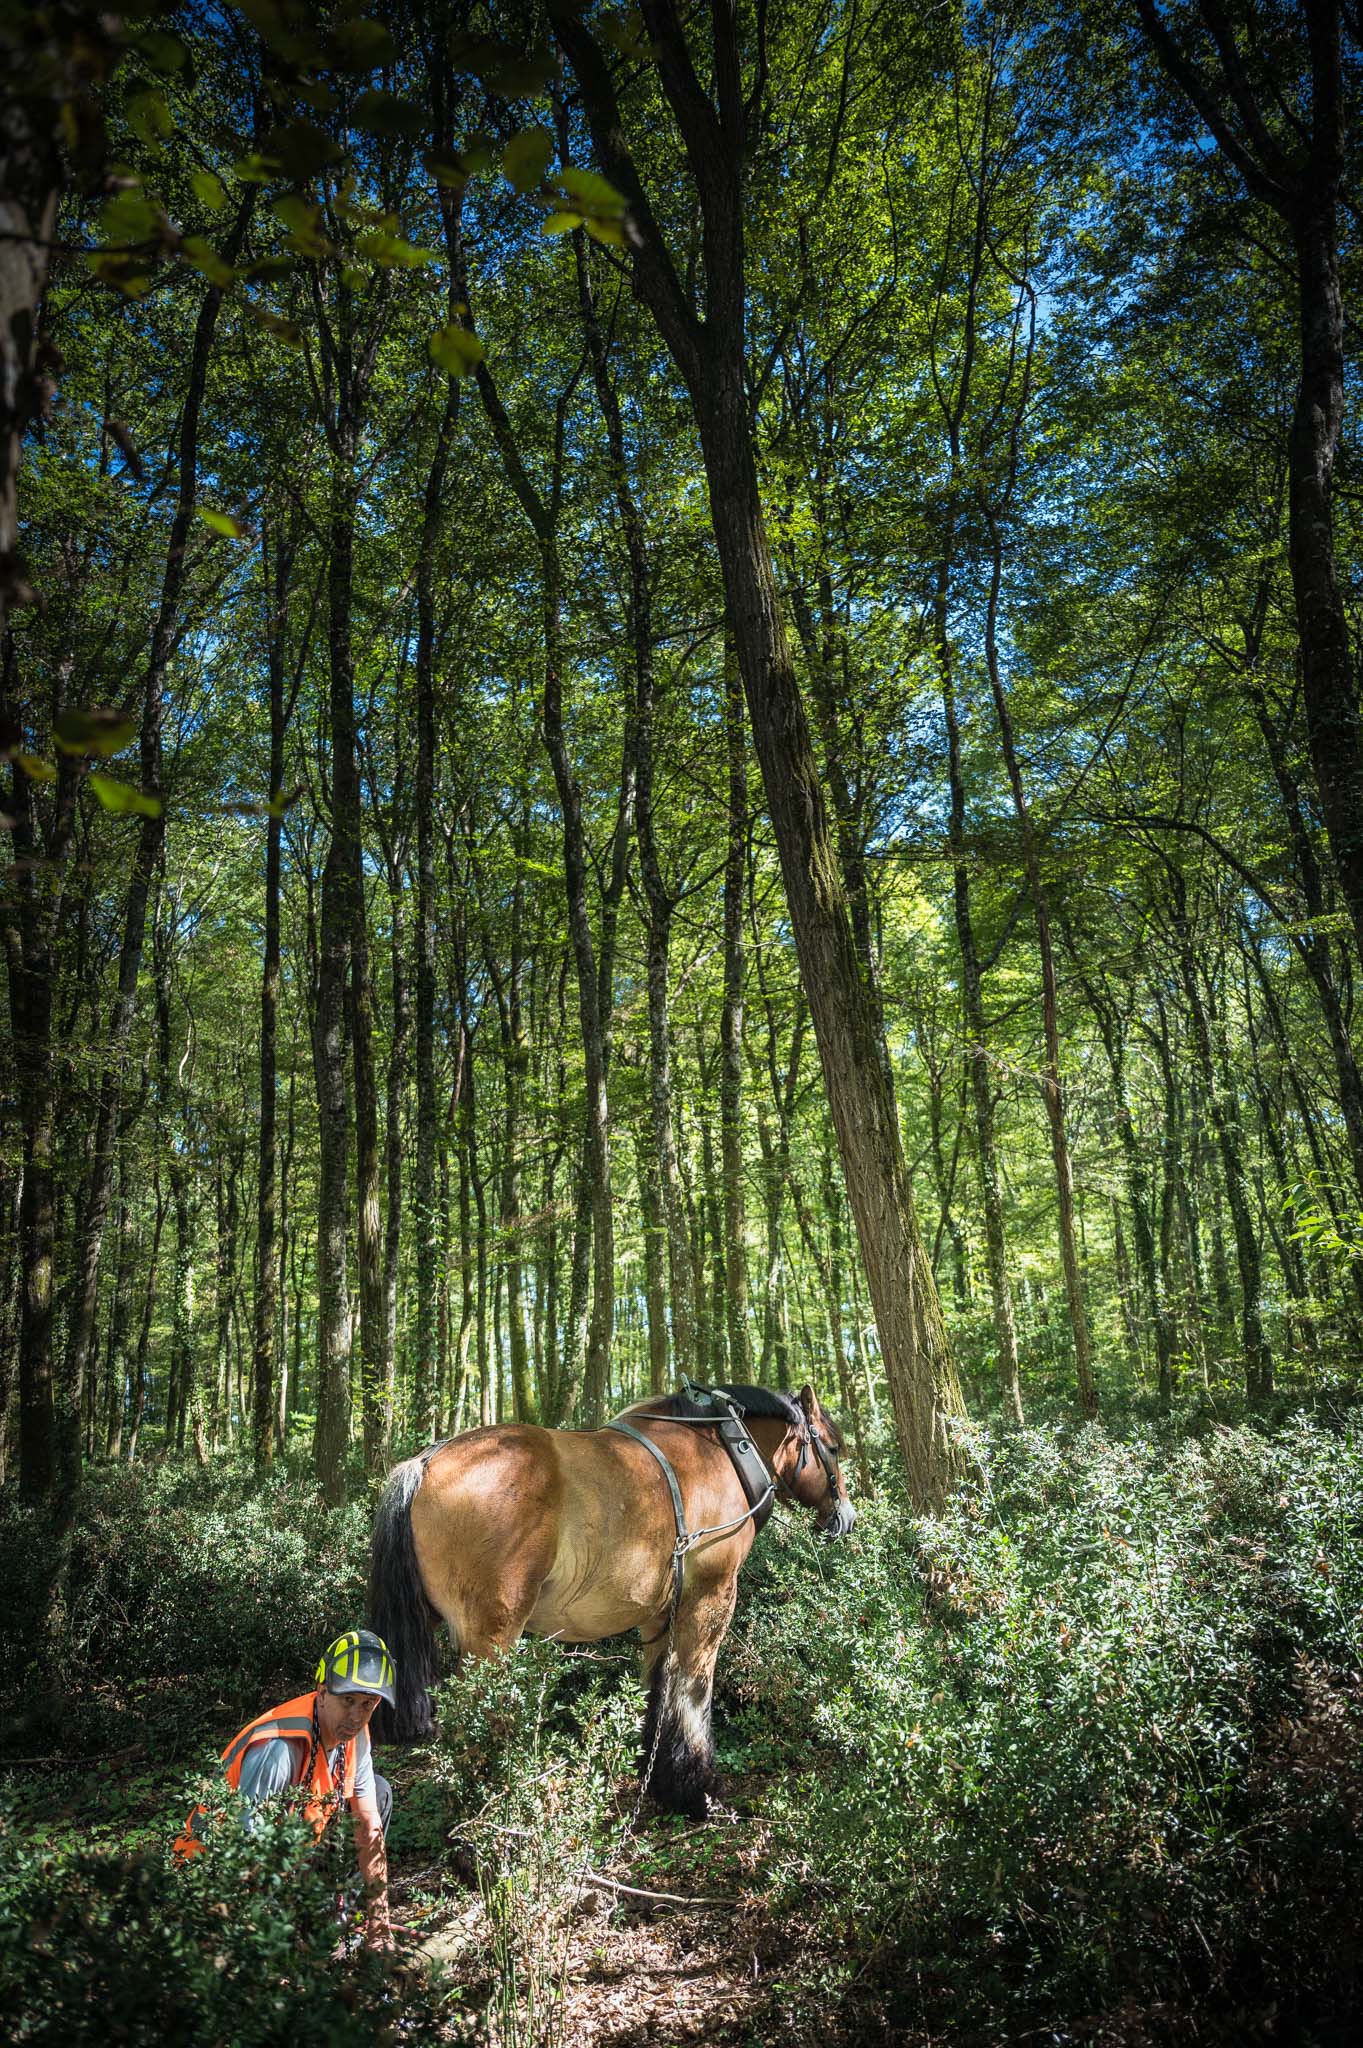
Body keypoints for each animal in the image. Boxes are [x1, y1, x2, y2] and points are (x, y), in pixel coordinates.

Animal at [367, 1380, 855, 1818]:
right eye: (833, 1447)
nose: (845, 1518)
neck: (724, 1453)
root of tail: (426, 1463)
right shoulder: (710, 1596)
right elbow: (693, 1689)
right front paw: (698, 1790)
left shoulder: (661, 1613)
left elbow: (659, 1688)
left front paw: (659, 1779)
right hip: (492, 1639)